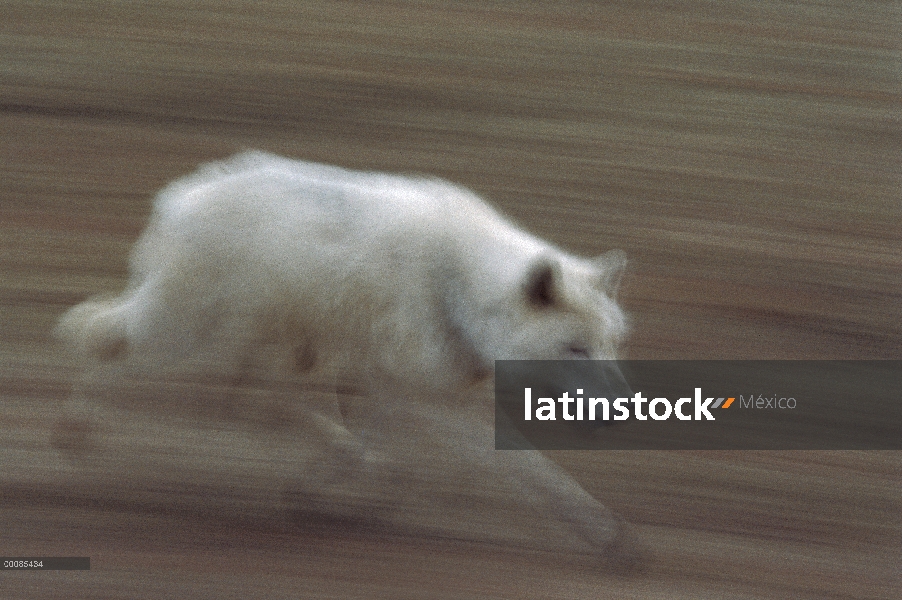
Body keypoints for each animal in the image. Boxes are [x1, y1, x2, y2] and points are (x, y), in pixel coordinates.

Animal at [60, 152, 632, 556]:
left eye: (609, 345)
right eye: (575, 349)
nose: (616, 413)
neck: (458, 288)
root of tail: (180, 196)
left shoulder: (397, 385)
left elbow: (382, 448)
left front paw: (345, 491)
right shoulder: (430, 399)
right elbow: (532, 468)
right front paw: (608, 536)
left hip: (283, 344)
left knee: (261, 398)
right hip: (182, 331)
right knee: (100, 339)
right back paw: (74, 432)